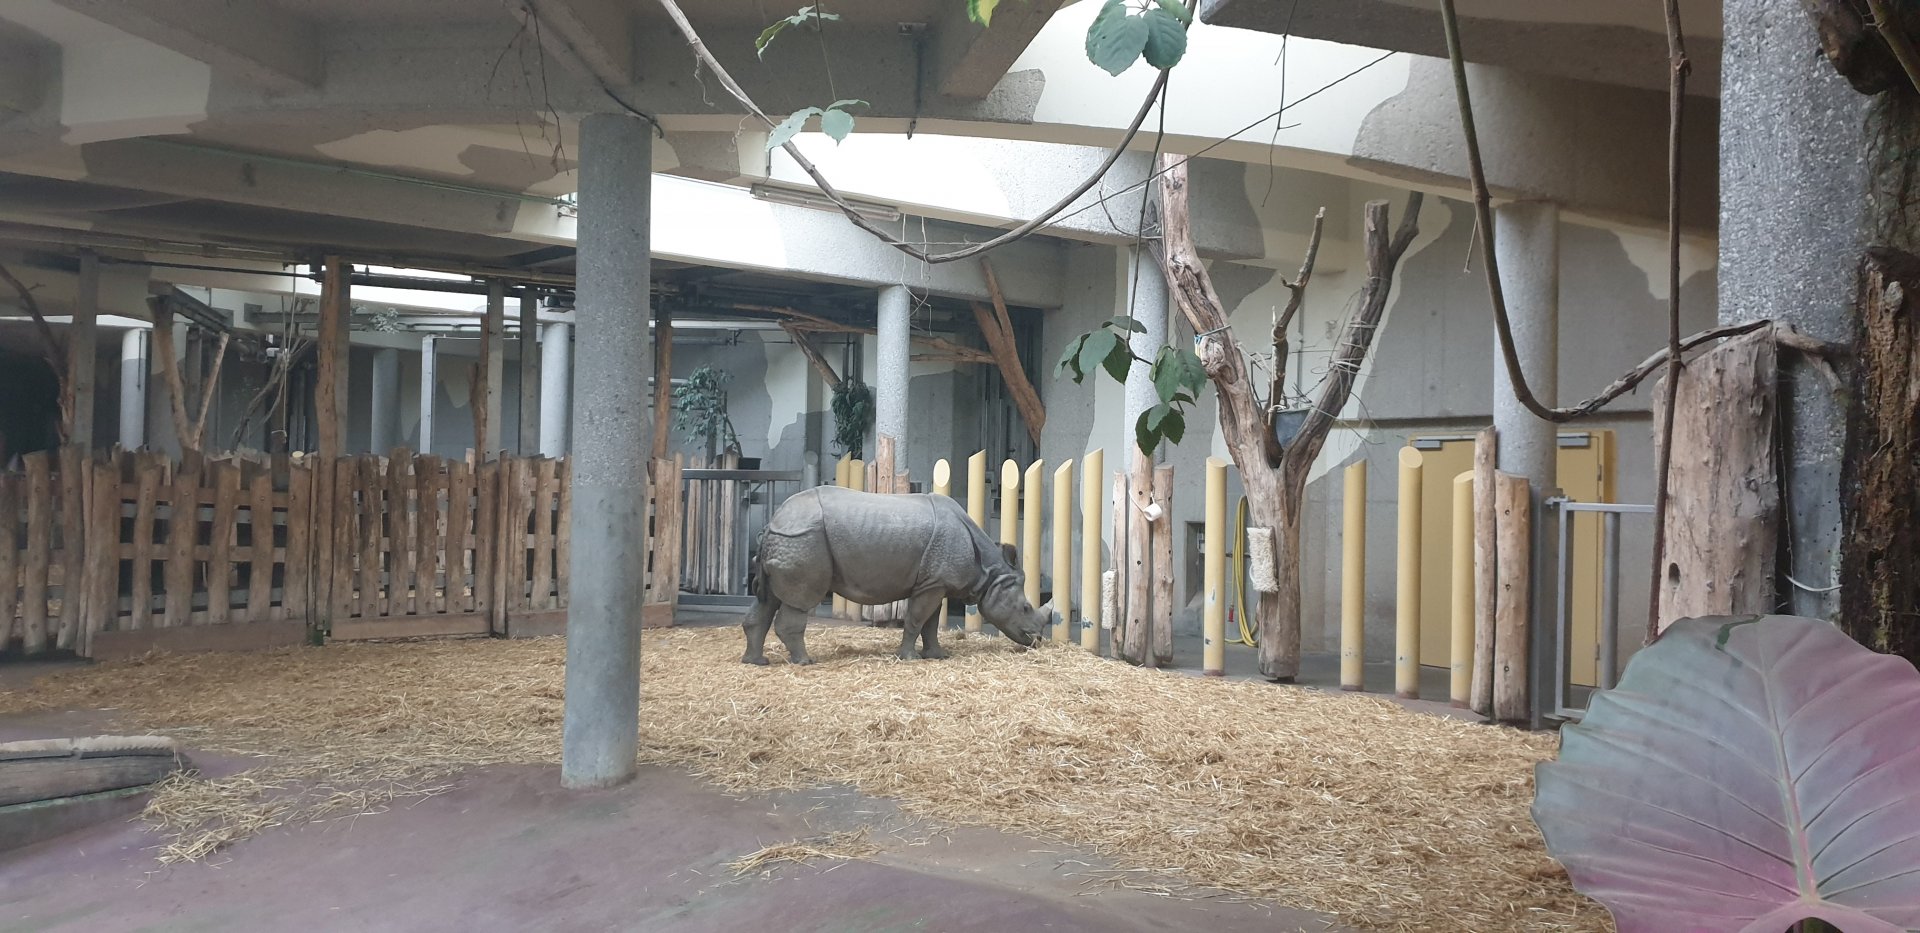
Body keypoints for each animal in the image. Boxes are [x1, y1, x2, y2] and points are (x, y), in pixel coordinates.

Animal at [743, 485, 1049, 665]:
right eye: (1025, 607)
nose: (1037, 641)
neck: (990, 570)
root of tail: (773, 521)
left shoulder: (935, 582)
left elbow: (930, 623)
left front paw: (937, 656)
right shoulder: (932, 584)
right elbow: (916, 619)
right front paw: (910, 658)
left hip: (788, 540)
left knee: (768, 600)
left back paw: (755, 662)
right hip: (803, 538)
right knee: (799, 600)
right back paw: (805, 661)